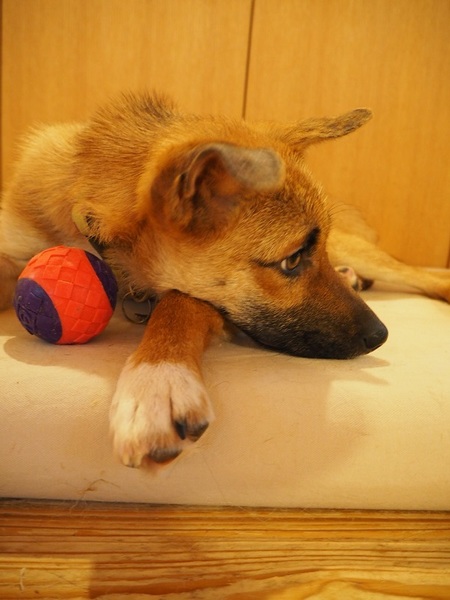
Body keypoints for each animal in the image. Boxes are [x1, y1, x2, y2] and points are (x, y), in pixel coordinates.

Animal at [1, 92, 449, 467]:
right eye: (292, 260)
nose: (381, 335)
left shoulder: (201, 302)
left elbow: (178, 304)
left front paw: (159, 379)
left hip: (358, 250)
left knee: (419, 275)